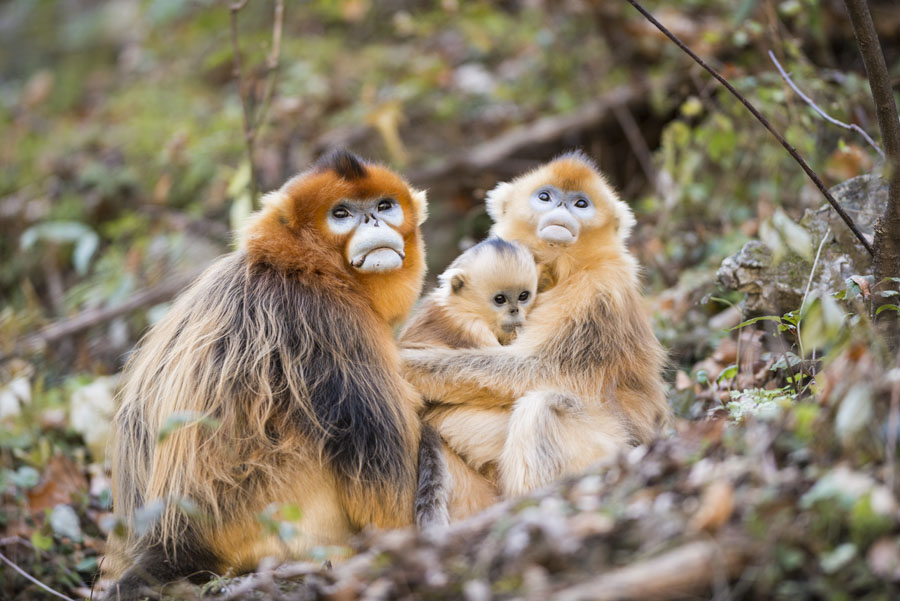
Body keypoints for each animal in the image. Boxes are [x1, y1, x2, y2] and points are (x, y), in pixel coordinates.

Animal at [102, 150, 435, 600]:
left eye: (384, 206)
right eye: (342, 213)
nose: (372, 221)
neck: (300, 268)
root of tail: (172, 543)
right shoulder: (331, 322)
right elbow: (381, 483)